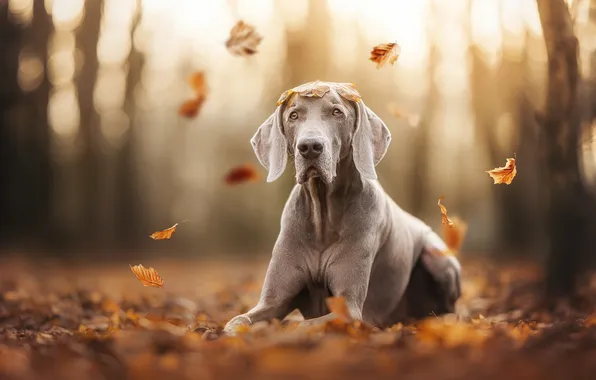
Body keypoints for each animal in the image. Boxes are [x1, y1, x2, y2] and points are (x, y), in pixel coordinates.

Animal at [224, 81, 460, 332]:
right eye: (293, 115)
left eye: (337, 112)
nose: (310, 146)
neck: (322, 215)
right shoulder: (272, 301)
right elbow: (237, 320)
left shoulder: (348, 307)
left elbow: (302, 326)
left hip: (437, 256)